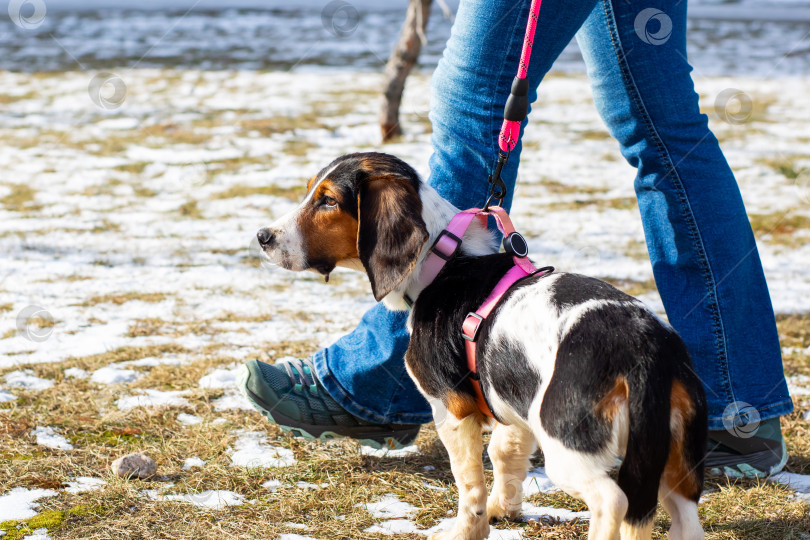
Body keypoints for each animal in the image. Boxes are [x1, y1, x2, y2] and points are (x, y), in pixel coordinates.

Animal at [256, 152, 704, 540]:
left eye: (328, 200)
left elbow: (468, 484)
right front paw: (502, 510)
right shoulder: (512, 402)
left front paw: (467, 530)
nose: (262, 236)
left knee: (612, 501)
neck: (442, 262)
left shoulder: (451, 410)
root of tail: (644, 347)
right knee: (682, 516)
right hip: (673, 458)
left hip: (568, 445)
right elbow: (504, 454)